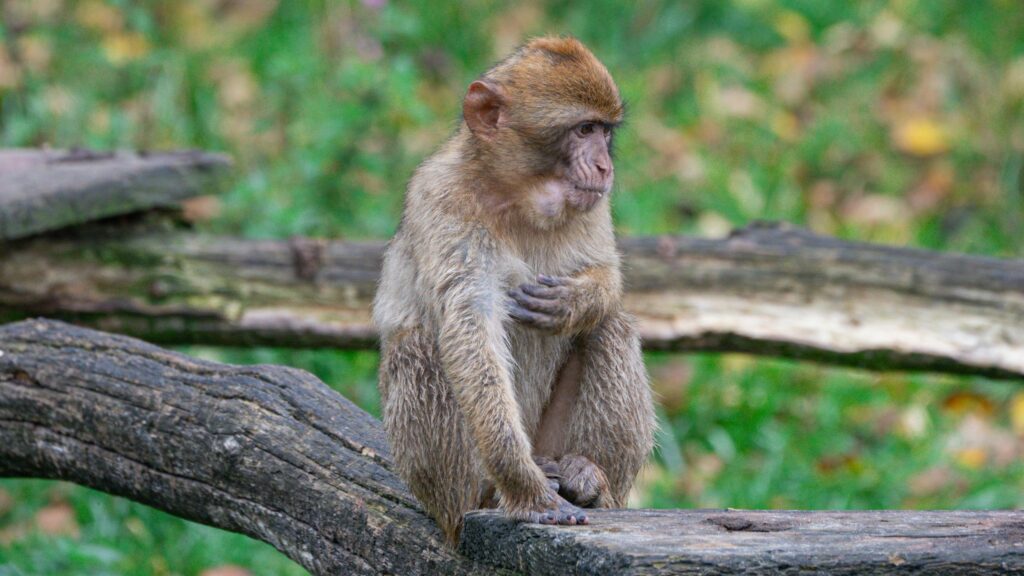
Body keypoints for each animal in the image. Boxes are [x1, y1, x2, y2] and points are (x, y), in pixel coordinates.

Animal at [373, 36, 655, 544]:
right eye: (584, 129)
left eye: (604, 132)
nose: (604, 166)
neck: (517, 197)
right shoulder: (441, 199)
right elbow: (470, 325)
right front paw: (526, 488)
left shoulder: (592, 205)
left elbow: (608, 276)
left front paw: (576, 302)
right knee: (417, 348)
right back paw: (493, 493)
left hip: (550, 438)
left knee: (612, 326)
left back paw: (588, 477)